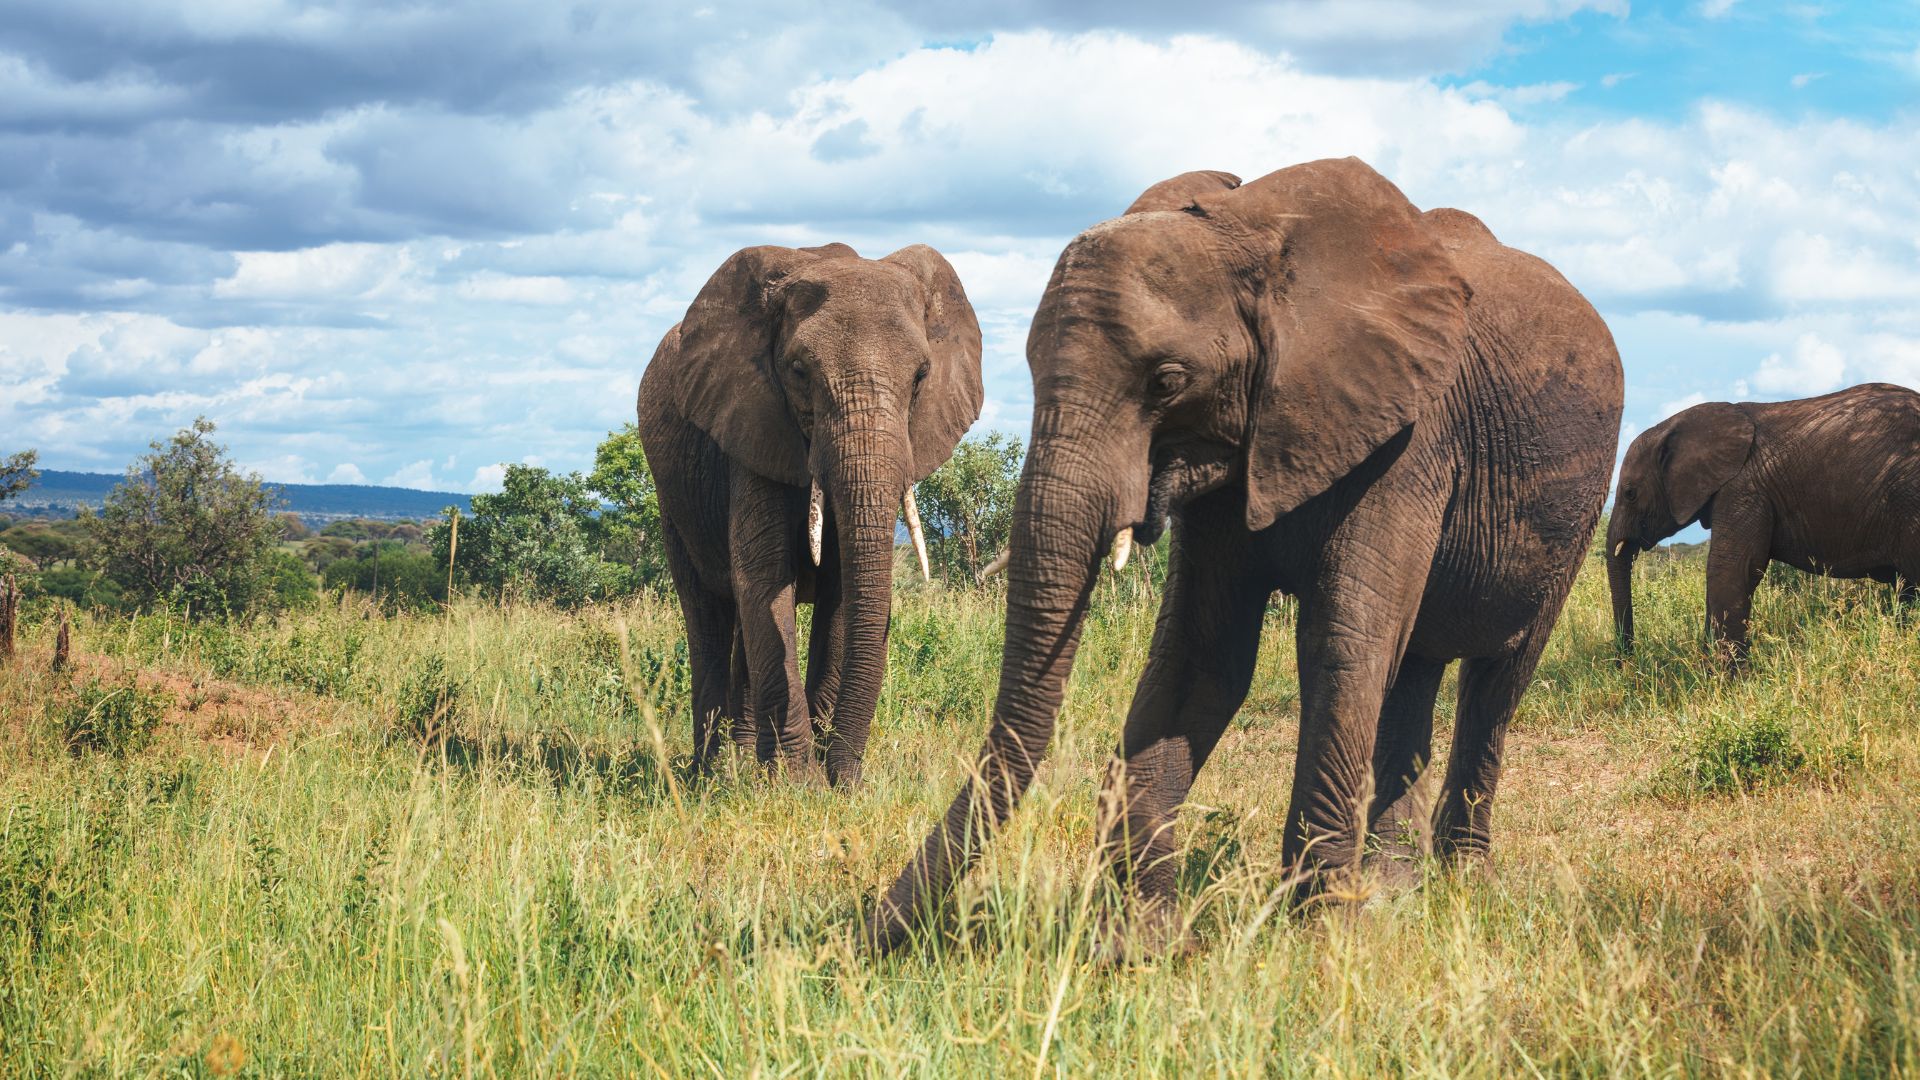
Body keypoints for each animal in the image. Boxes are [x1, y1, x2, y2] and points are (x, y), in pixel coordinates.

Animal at [637, 242, 982, 786]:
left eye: (921, 377)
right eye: (799, 371)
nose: (849, 779)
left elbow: (839, 593)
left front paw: (820, 779)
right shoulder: (749, 424)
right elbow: (763, 580)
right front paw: (800, 782)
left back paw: (743, 764)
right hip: (673, 498)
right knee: (708, 615)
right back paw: (711, 775)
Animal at [863, 158, 1623, 955]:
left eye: (1167, 381)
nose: (872, 932)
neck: (1254, 239)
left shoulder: (1412, 441)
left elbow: (1340, 645)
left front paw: (1318, 941)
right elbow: (1202, 659)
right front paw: (1140, 947)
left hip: (1575, 511)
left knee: (1496, 680)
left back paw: (1458, 882)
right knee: (1413, 669)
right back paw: (1394, 891)